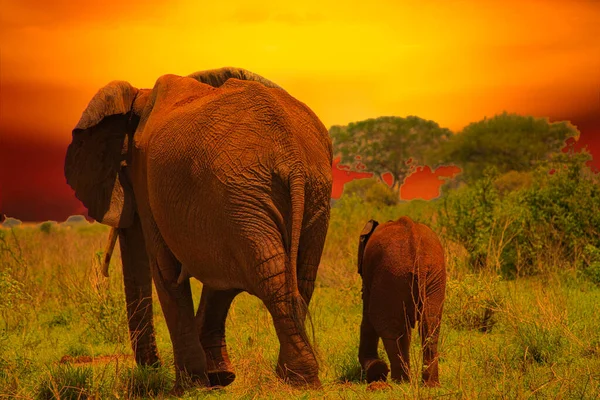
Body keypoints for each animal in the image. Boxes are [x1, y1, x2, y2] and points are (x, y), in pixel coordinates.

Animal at [65, 67, 332, 390]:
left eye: (123, 168)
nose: (151, 369)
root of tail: (290, 154)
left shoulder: (152, 182)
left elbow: (166, 271)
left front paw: (188, 386)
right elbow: (220, 279)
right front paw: (218, 379)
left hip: (245, 190)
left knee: (270, 275)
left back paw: (295, 380)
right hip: (304, 192)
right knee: (299, 276)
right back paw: (295, 377)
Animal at [356, 217, 446, 386]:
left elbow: (368, 315)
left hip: (392, 274)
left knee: (391, 329)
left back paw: (400, 381)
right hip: (432, 275)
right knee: (429, 326)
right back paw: (430, 385)